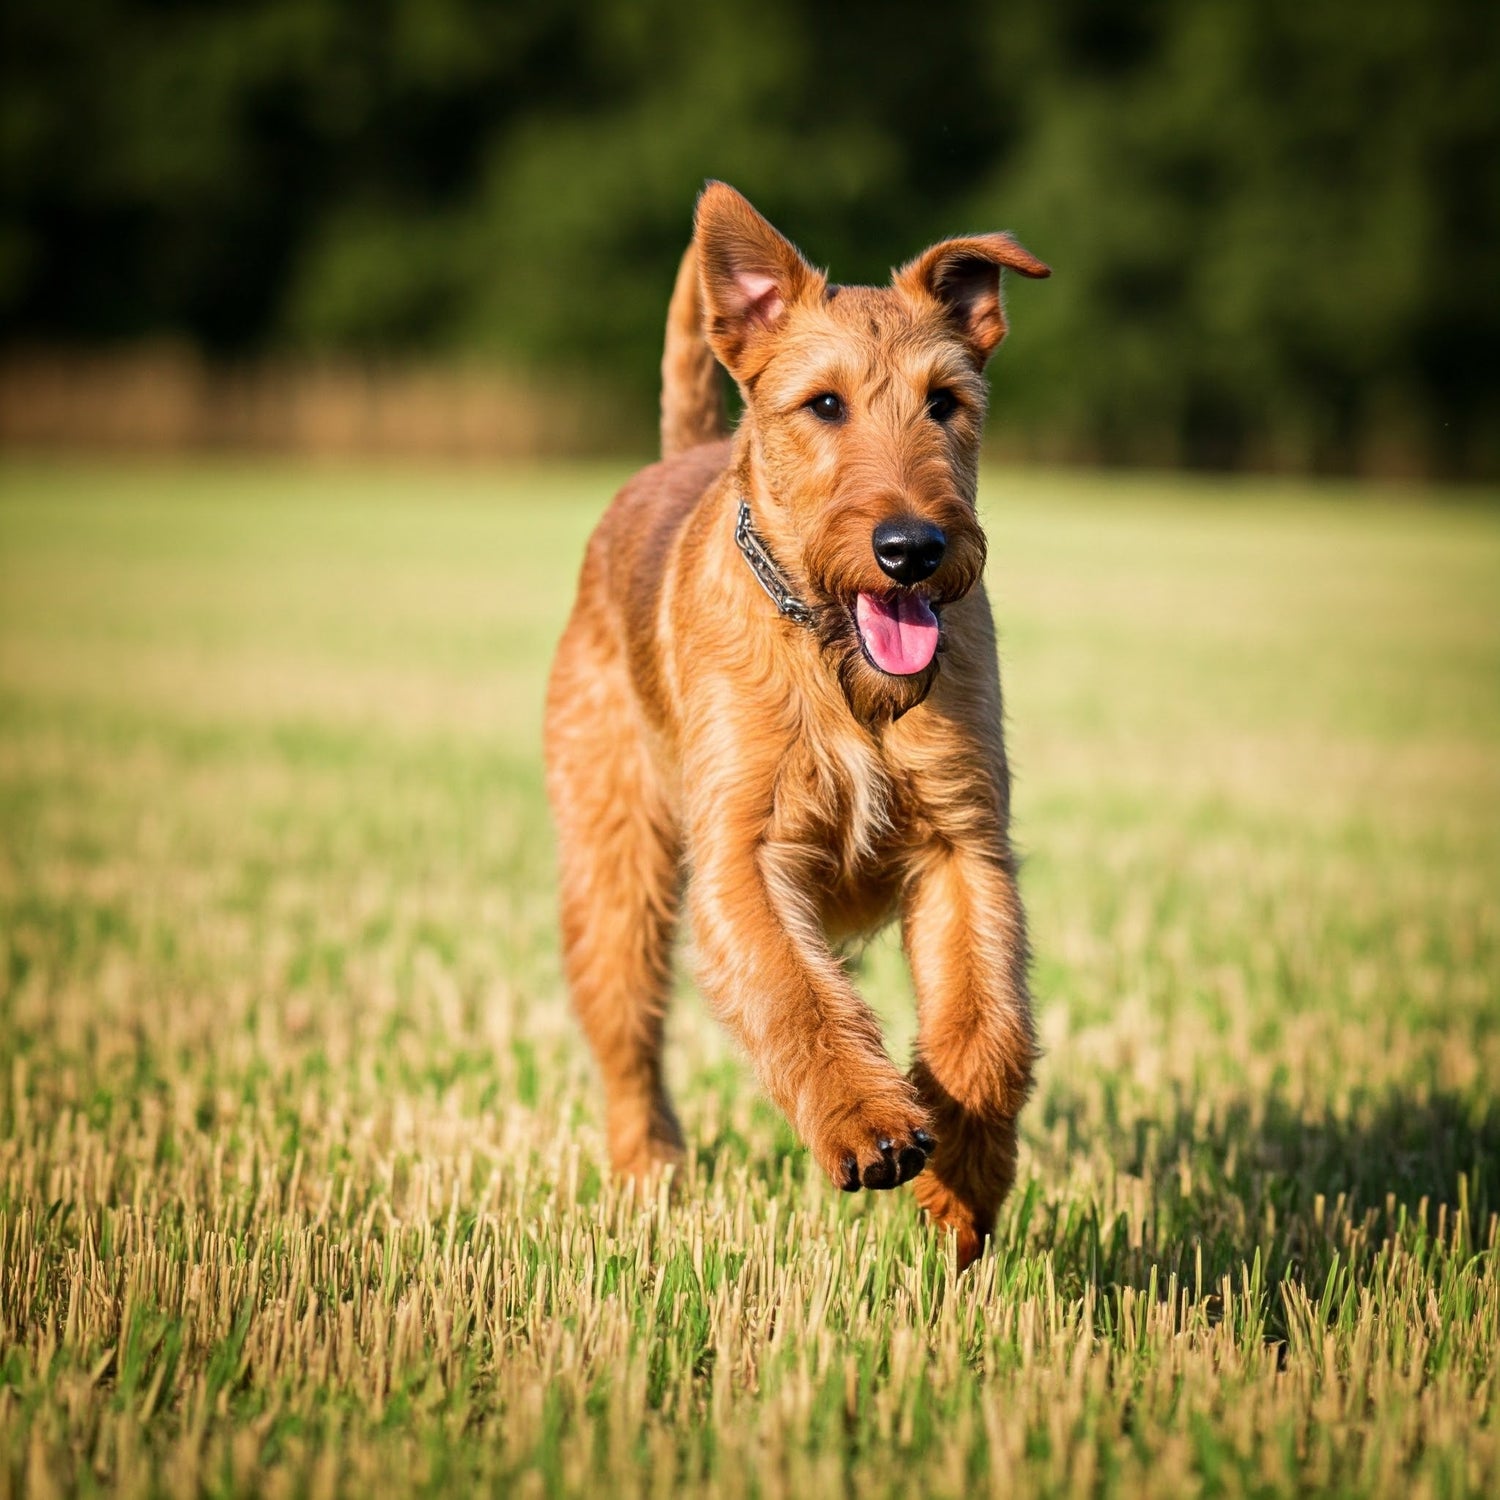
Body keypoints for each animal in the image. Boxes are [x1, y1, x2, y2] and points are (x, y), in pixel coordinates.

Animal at [546, 184, 1050, 1266]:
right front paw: (871, 1126)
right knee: (626, 1037)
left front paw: (964, 1188)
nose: (913, 548)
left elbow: (983, 1028)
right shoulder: (743, 851)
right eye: (825, 404)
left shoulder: (963, 843)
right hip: (616, 869)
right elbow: (795, 996)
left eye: (945, 402)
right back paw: (647, 1174)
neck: (837, 670)